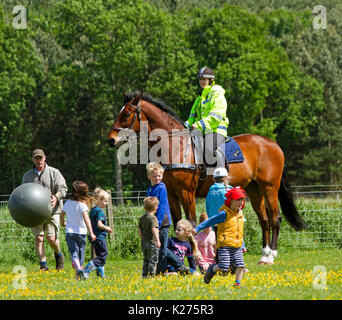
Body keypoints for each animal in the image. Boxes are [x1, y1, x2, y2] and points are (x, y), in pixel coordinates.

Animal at [106, 91, 304, 264]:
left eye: (127, 113)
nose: (111, 139)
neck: (174, 146)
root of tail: (273, 144)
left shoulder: (186, 193)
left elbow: (191, 224)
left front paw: (195, 255)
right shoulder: (172, 194)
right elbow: (178, 223)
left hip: (270, 188)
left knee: (275, 218)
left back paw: (271, 256)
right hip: (254, 190)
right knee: (264, 220)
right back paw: (264, 255)